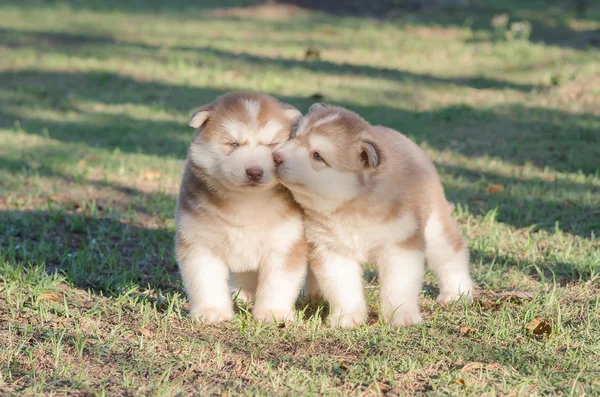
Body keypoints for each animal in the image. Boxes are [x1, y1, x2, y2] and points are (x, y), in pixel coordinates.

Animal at [176, 91, 308, 324]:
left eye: (272, 145)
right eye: (233, 144)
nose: (254, 172)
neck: (246, 202)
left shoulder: (285, 242)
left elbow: (278, 282)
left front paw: (273, 313)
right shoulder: (200, 242)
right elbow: (205, 279)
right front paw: (212, 311)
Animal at [272, 103, 474, 326]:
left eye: (317, 156)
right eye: (294, 137)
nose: (275, 157)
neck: (351, 208)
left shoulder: (400, 246)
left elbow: (399, 285)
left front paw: (402, 316)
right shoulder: (331, 249)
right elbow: (342, 288)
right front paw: (347, 317)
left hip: (435, 228)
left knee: (452, 256)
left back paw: (457, 293)